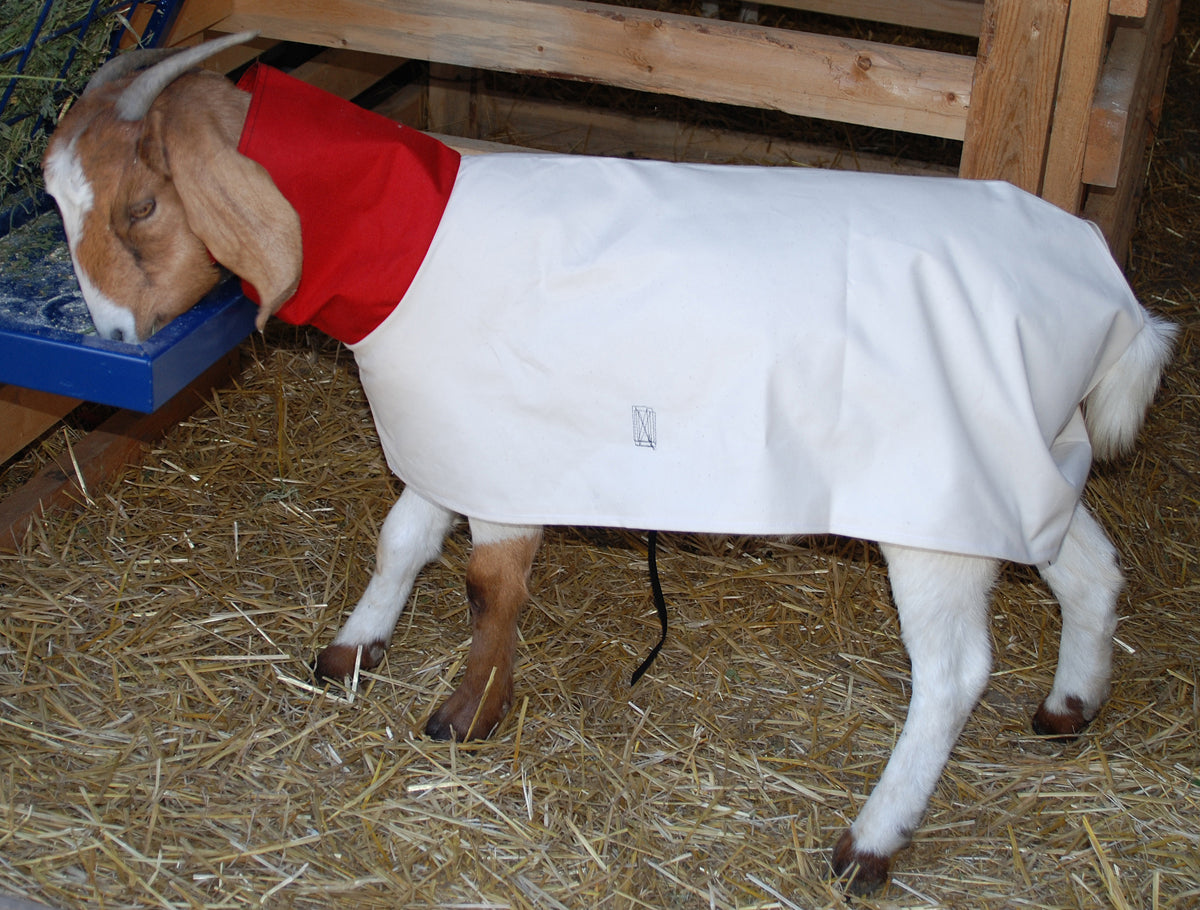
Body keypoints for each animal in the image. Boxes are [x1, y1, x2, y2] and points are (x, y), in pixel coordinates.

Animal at [43, 33, 1175, 894]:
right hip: (1029, 465)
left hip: (936, 510)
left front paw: (465, 716)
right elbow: (402, 537)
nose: (108, 335)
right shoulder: (448, 437)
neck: (407, 232)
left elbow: (488, 586)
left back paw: (870, 841)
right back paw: (1070, 706)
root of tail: (1112, 299)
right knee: (1090, 569)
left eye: (141, 206)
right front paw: (354, 648)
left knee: (952, 673)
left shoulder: (502, 455)